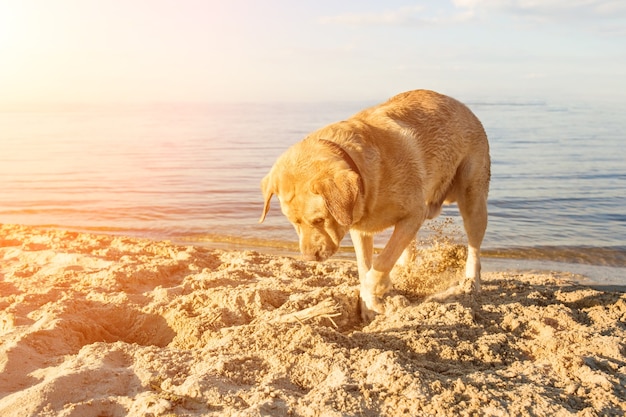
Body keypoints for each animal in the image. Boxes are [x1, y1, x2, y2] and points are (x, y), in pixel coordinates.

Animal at [258, 89, 488, 320]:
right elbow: (365, 265)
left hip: (473, 198)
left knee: (474, 248)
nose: (308, 257)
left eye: (320, 219)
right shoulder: (360, 229)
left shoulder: (414, 214)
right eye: (294, 223)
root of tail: (464, 107)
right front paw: (369, 305)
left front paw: (374, 290)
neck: (362, 174)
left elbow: (381, 262)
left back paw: (471, 282)